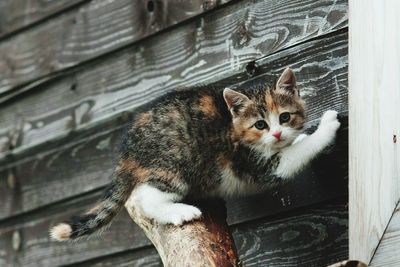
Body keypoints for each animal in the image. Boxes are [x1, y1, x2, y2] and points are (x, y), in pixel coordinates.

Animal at [48, 67, 340, 243]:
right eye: (260, 125)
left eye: (285, 117)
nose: (277, 134)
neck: (233, 128)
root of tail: (127, 150)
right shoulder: (254, 164)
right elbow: (294, 155)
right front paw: (326, 127)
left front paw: (298, 136)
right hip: (175, 161)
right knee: (146, 197)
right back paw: (179, 211)